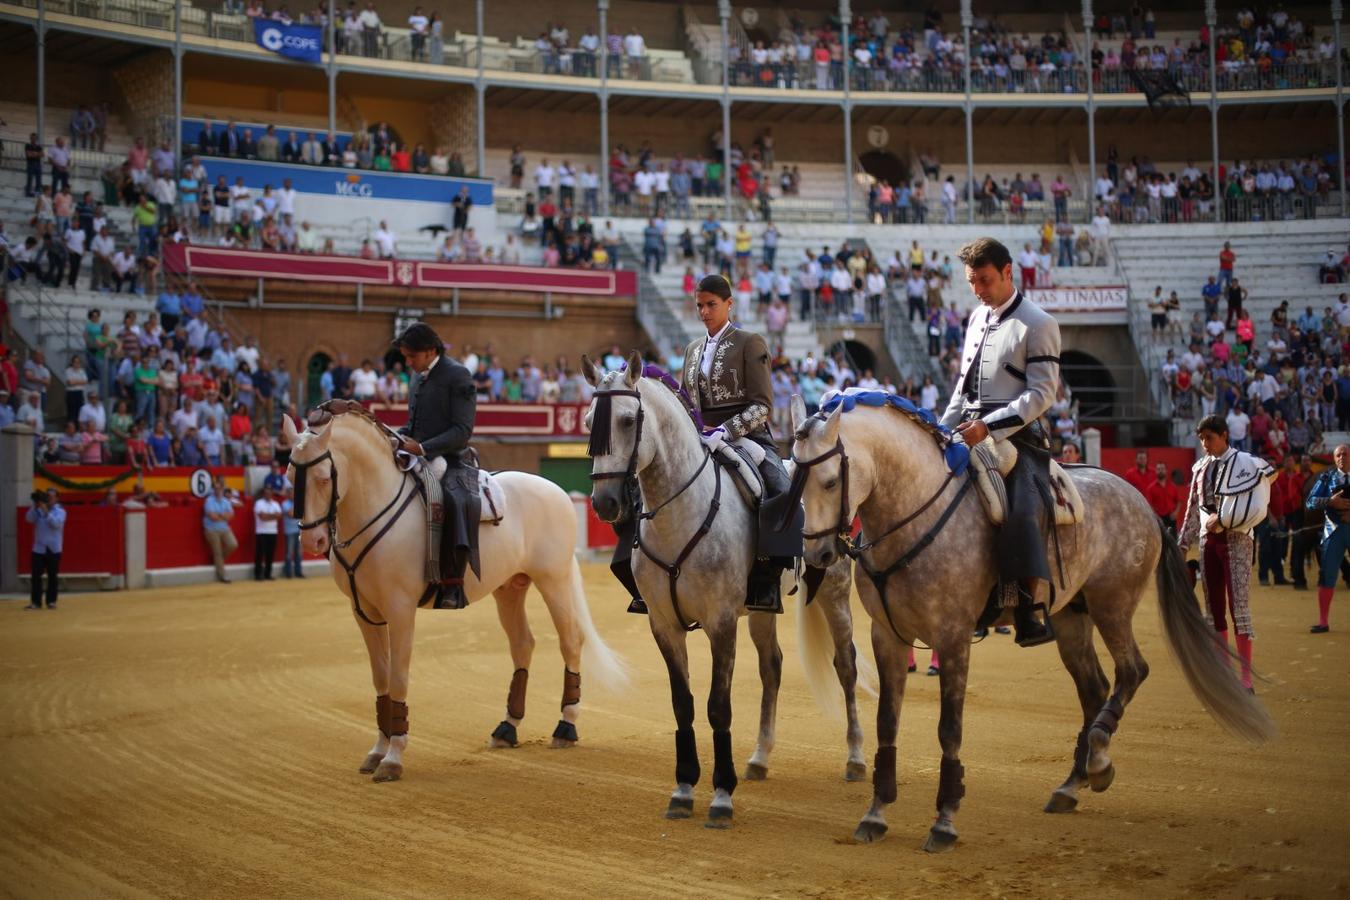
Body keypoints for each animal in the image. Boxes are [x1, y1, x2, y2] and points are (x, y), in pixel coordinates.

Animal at [283, 402, 626, 782]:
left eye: (323, 477)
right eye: (289, 476)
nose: (312, 542)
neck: (374, 507)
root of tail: (559, 492)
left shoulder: (400, 610)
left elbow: (398, 678)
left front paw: (393, 758)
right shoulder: (365, 613)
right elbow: (381, 679)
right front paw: (377, 751)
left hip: (554, 579)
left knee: (571, 641)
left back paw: (565, 728)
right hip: (510, 587)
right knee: (523, 644)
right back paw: (506, 728)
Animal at [583, 353, 874, 831]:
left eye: (627, 420)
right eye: (590, 421)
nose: (605, 503)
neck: (680, 512)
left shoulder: (720, 621)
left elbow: (718, 706)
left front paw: (721, 796)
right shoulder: (664, 625)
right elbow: (682, 704)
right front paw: (683, 789)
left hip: (835, 590)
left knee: (845, 664)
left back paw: (854, 757)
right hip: (761, 608)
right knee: (772, 667)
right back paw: (759, 757)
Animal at [788, 396, 1269, 858]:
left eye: (829, 481)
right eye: (796, 478)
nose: (817, 556)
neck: (914, 511)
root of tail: (1142, 503)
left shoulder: (954, 637)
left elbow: (950, 728)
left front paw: (944, 821)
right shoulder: (886, 635)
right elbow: (887, 721)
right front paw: (875, 813)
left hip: (1112, 605)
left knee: (1132, 671)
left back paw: (1098, 760)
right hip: (1071, 616)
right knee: (1094, 688)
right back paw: (1074, 782)